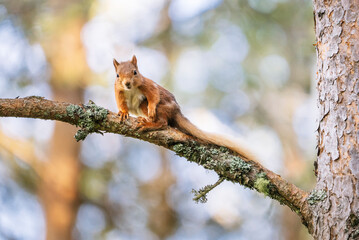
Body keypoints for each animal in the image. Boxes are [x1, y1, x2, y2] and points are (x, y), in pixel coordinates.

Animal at [113, 54, 253, 159]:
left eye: (135, 72)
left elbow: (154, 95)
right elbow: (121, 103)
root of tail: (176, 112)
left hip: (155, 107)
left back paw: (149, 123)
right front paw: (123, 112)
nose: (127, 83)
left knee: (163, 123)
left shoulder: (147, 84)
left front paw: (151, 109)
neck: (130, 90)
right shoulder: (118, 92)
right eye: (117, 75)